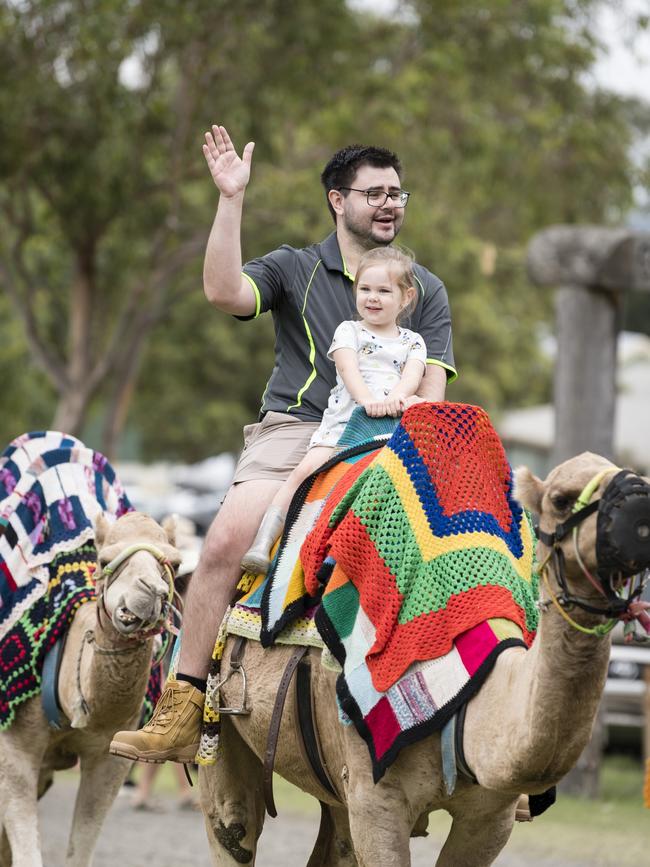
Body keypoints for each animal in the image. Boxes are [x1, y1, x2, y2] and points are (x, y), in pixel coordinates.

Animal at [0, 512, 180, 867]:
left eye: (175, 564)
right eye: (105, 559)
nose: (150, 592)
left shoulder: (111, 755)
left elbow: (79, 852)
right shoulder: (13, 747)